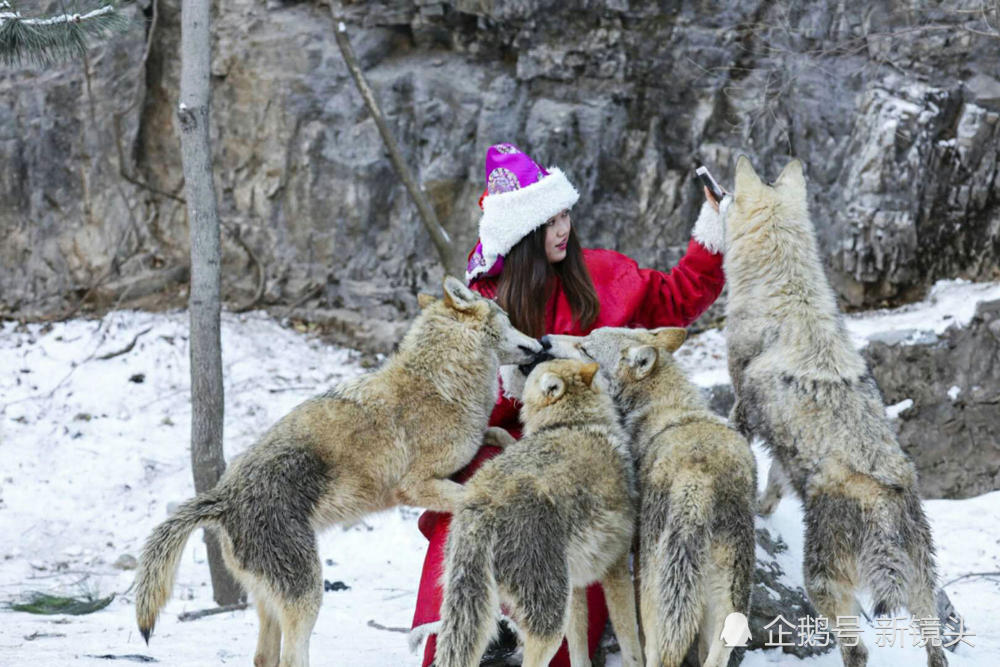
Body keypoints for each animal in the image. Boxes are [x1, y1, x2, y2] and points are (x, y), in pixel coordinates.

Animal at [134, 276, 544, 667]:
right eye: (508, 318)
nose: (541, 342)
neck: (442, 382)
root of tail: (221, 496)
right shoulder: (416, 486)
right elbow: (470, 487)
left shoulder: (471, 443)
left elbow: (497, 434)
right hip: (308, 592)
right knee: (290, 658)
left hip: (272, 602)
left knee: (264, 657)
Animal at [436, 360, 640, 667]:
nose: (530, 357)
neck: (575, 423)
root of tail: (481, 509)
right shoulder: (614, 568)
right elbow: (631, 642)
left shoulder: (576, 587)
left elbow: (579, 649)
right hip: (549, 623)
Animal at [544, 328, 752, 667]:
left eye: (585, 348)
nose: (545, 339)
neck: (660, 406)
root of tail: (698, 479)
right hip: (728, 597)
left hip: (656, 591)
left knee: (657, 647)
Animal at [724, 158, 948, 667]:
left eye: (725, 195)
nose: (715, 189)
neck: (785, 290)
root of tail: (885, 509)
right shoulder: (783, 451)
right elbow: (774, 482)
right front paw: (764, 509)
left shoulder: (742, 405)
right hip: (923, 589)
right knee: (936, 649)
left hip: (824, 586)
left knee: (858, 650)